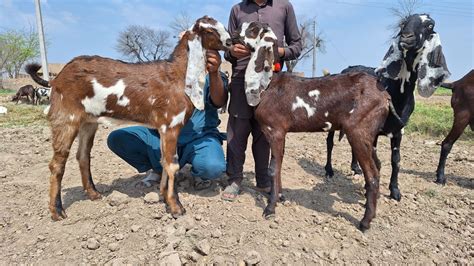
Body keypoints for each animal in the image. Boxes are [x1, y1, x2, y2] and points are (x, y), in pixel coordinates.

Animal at [24, 15, 231, 221]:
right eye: (209, 31)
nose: (230, 42)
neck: (177, 75)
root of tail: (56, 78)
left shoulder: (164, 128)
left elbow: (164, 162)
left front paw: (164, 196)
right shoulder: (171, 124)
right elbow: (172, 165)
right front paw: (176, 207)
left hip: (88, 121)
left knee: (82, 155)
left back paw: (93, 194)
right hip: (66, 117)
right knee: (57, 163)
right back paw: (57, 211)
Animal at [234, 22, 392, 231]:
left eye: (252, 29)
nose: (234, 33)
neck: (268, 85)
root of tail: (385, 96)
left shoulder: (275, 130)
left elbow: (273, 168)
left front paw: (270, 208)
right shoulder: (282, 133)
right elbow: (279, 163)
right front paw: (280, 197)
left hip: (358, 131)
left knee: (372, 175)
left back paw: (365, 222)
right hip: (369, 135)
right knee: (378, 166)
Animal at [324, 14, 450, 201]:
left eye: (429, 25)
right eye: (403, 23)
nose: (406, 37)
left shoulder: (399, 131)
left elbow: (396, 160)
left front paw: (395, 190)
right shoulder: (375, 131)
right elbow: (375, 160)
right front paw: (370, 187)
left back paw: (355, 167)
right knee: (330, 142)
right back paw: (329, 170)